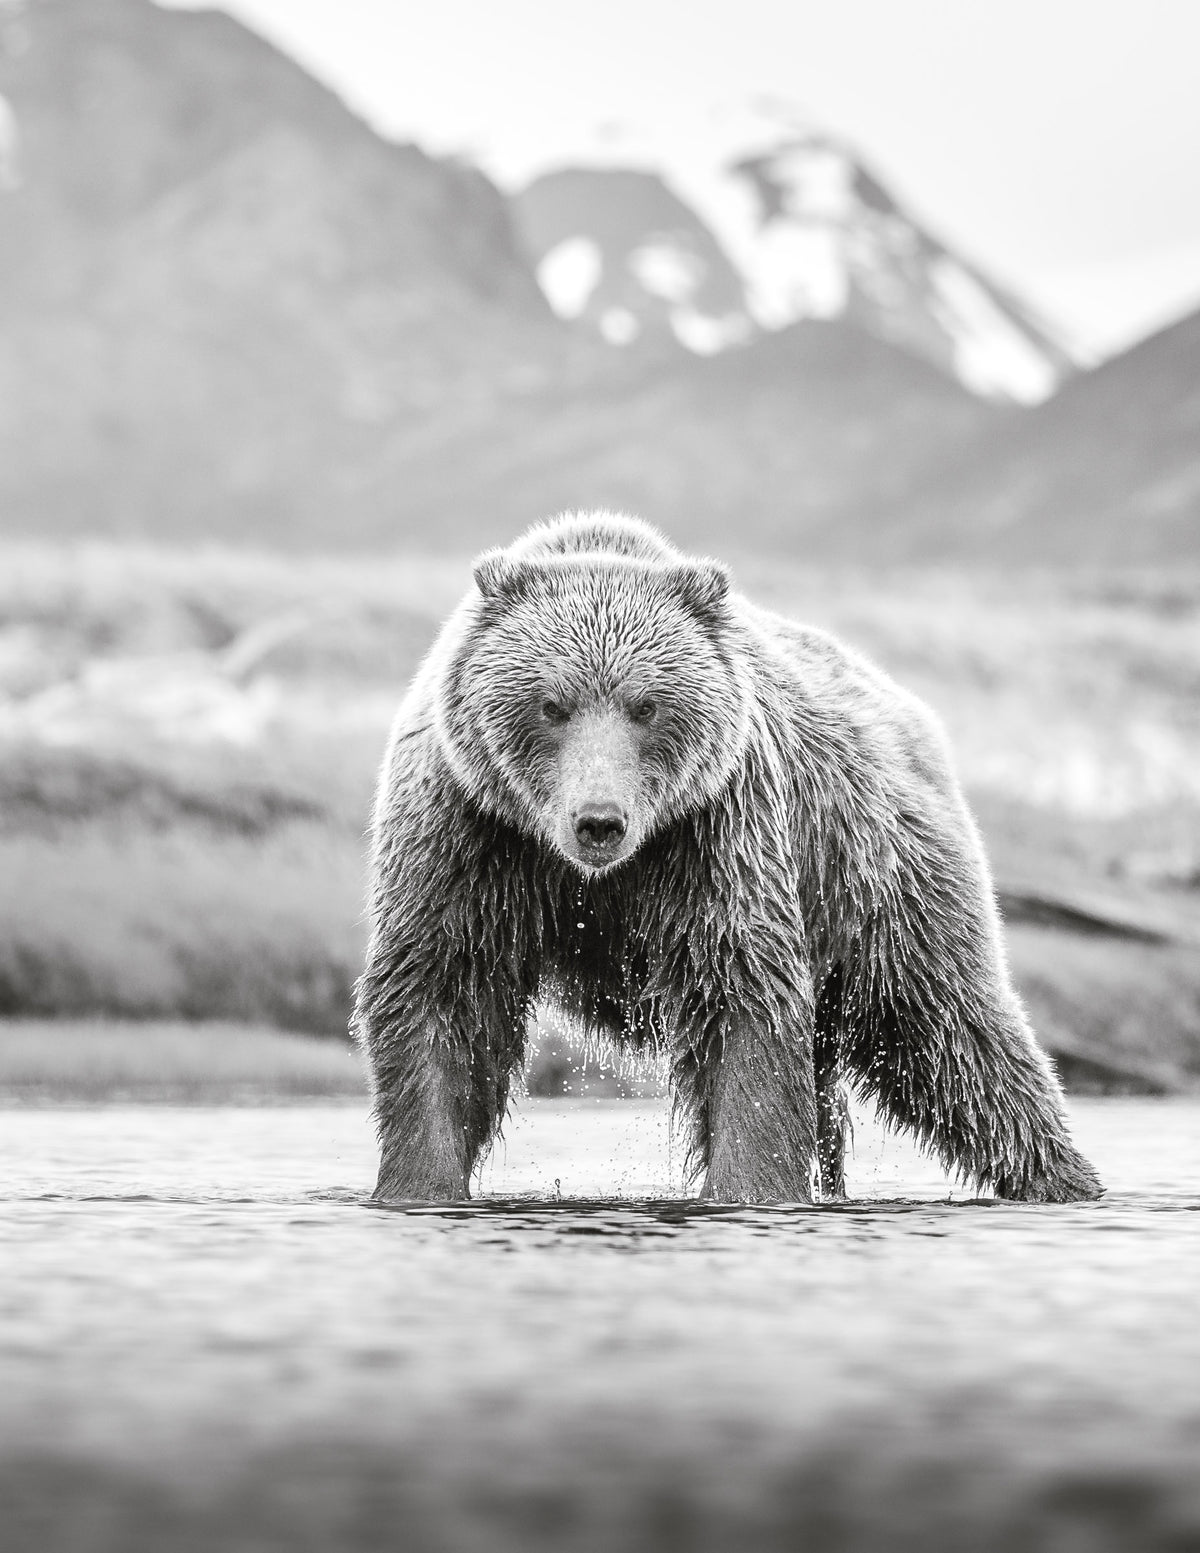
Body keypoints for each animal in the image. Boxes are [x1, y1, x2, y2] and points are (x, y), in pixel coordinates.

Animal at [353, 511, 1103, 1205]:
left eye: (646, 705)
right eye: (551, 704)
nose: (599, 821)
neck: (594, 875)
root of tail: (911, 714)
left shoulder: (715, 832)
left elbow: (743, 998)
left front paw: (749, 1186)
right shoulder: (473, 836)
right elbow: (442, 997)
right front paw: (418, 1182)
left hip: (879, 876)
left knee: (951, 1033)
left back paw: (1063, 1177)